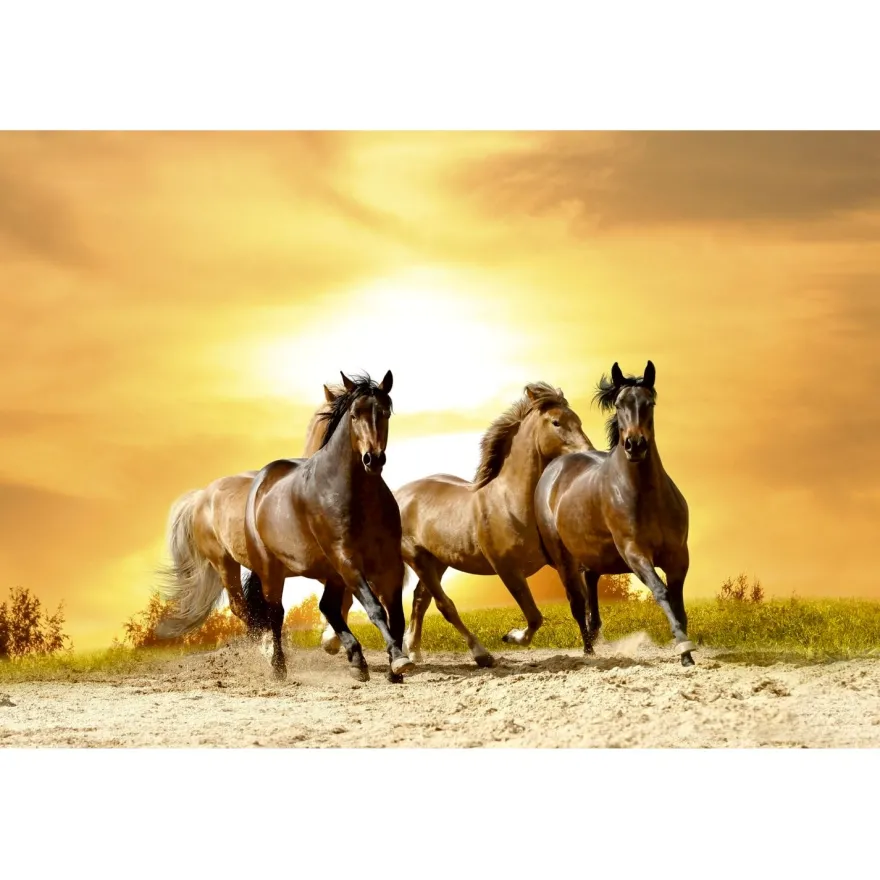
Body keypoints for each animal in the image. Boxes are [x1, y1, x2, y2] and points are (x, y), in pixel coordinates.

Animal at [242, 371, 414, 683]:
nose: (373, 459)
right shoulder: (347, 558)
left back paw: (357, 661)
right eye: (355, 415)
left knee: (328, 607)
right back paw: (279, 668)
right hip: (273, 570)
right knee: (276, 613)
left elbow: (395, 614)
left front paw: (395, 666)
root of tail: (261, 480)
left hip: (331, 572)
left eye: (384, 413)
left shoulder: (388, 562)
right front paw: (398, 660)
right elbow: (375, 609)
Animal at [380, 382, 592, 668]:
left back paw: (414, 650)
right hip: (418, 559)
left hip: (438, 561)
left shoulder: (562, 561)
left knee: (420, 600)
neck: (511, 501)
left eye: (578, 420)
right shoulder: (507, 569)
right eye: (556, 422)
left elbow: (578, 603)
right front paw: (511, 636)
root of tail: (399, 494)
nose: (587, 453)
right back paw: (481, 654)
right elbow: (534, 616)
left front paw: (591, 650)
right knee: (444, 605)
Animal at [534, 361, 696, 667]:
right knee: (577, 603)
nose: (635, 445)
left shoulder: (678, 555)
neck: (646, 495)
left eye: (649, 402)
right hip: (563, 559)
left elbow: (678, 601)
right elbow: (661, 592)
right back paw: (588, 651)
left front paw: (686, 651)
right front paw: (684, 648)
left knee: (591, 591)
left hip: (592, 556)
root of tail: (554, 468)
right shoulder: (635, 552)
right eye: (620, 404)